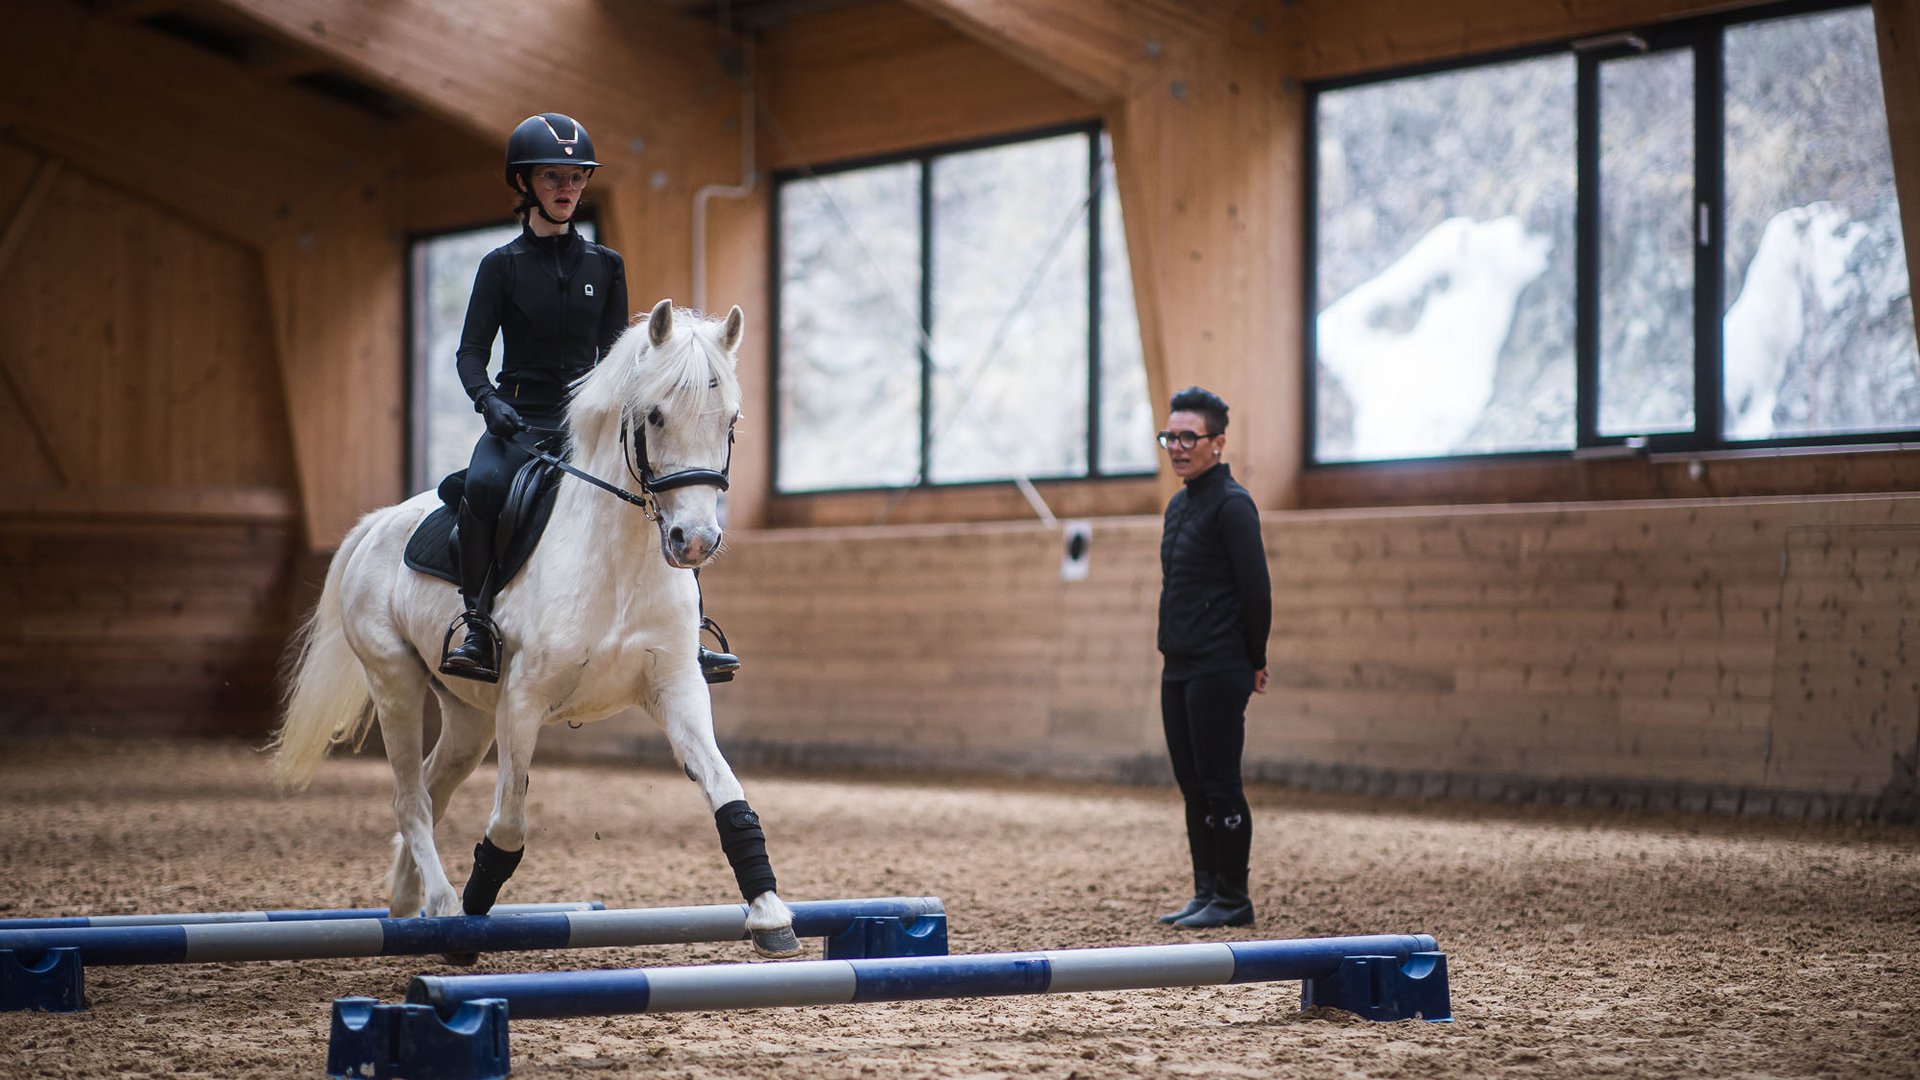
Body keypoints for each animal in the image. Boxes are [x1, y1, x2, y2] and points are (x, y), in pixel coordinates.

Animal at [268, 299, 800, 958]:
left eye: (730, 419)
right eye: (654, 415)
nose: (694, 541)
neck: (620, 562)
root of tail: (380, 523)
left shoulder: (676, 687)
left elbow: (729, 794)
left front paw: (770, 914)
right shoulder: (522, 701)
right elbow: (508, 823)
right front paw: (472, 919)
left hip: (469, 717)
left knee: (431, 790)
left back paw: (409, 903)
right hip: (395, 683)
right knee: (410, 799)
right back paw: (444, 905)